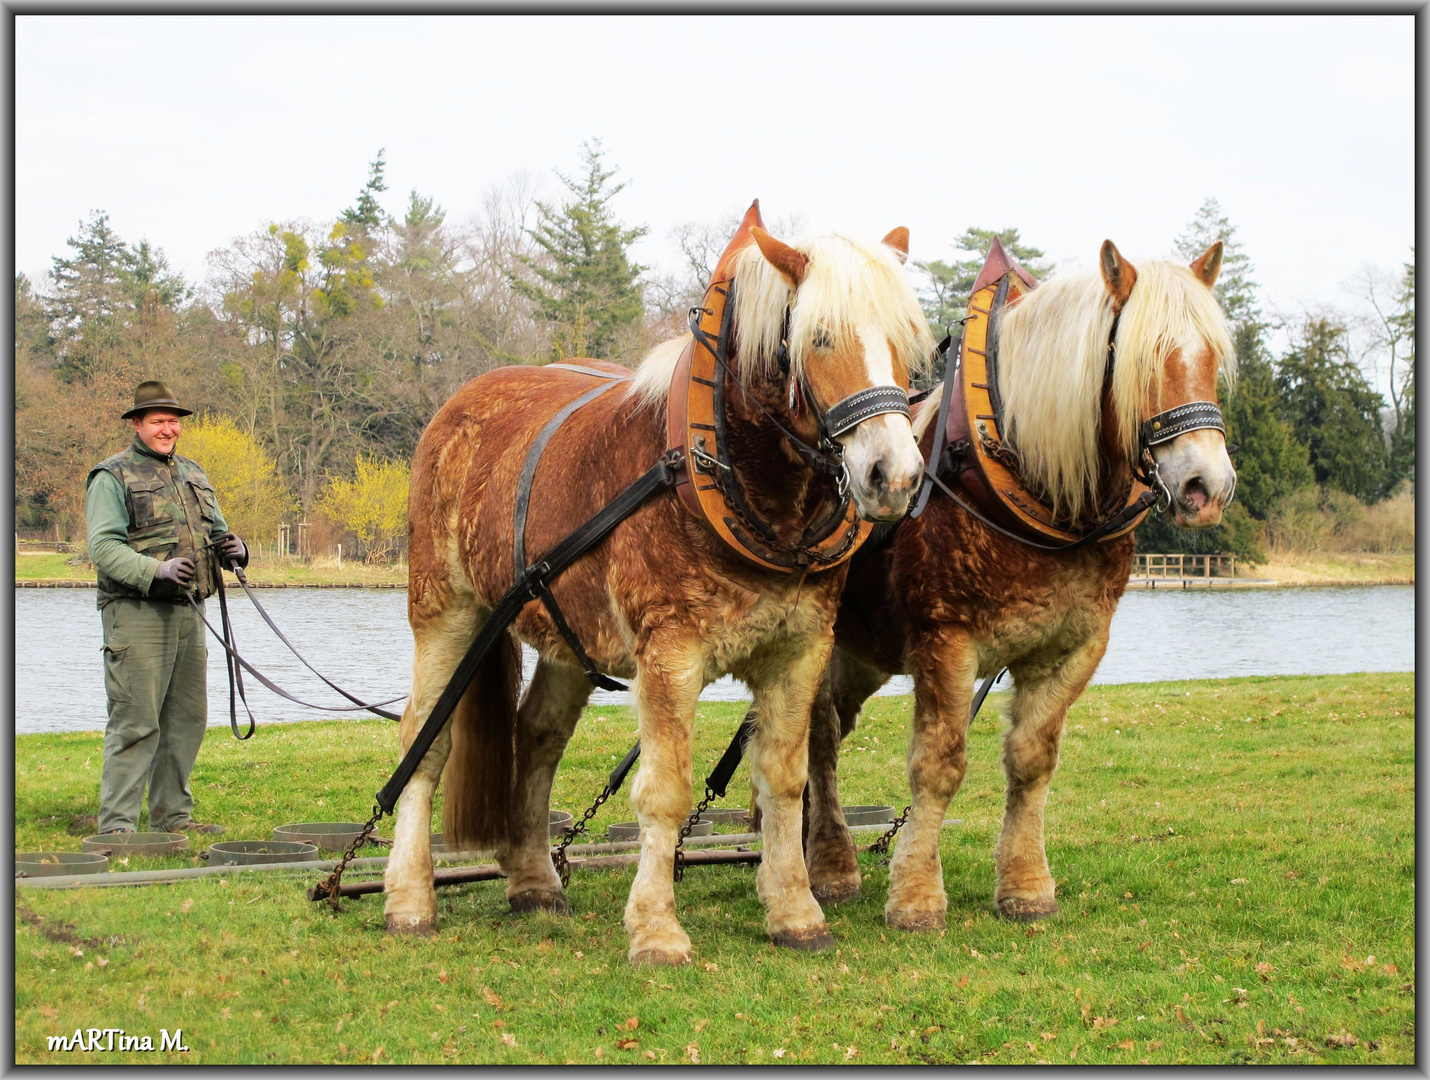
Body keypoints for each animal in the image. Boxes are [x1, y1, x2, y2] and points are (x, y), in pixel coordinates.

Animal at [386, 207, 932, 966]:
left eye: (906, 343)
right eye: (820, 337)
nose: (896, 475)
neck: (723, 473)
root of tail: (459, 404)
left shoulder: (800, 650)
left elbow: (784, 780)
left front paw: (795, 910)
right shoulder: (669, 653)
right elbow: (665, 791)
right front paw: (655, 927)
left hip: (565, 632)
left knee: (538, 736)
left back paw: (533, 881)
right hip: (445, 612)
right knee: (424, 740)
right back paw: (409, 896)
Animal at [800, 238, 1235, 926]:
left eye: (1213, 355)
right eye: (1142, 359)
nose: (1206, 486)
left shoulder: (1074, 647)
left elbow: (1033, 760)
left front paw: (1026, 884)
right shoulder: (946, 642)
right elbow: (940, 765)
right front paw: (917, 896)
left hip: (861, 656)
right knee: (816, 739)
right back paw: (831, 866)